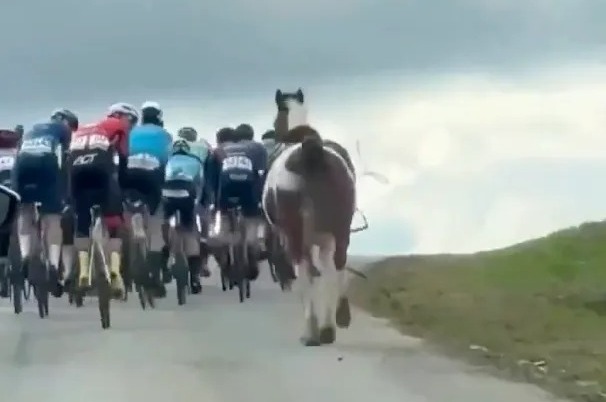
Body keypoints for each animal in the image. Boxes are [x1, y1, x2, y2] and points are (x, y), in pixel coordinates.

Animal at [262, 88, 356, 346]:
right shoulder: (324, 239)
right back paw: (330, 326)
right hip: (339, 231)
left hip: (294, 236)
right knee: (337, 267)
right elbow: (326, 273)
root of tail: (311, 153)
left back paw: (311, 332)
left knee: (304, 273)